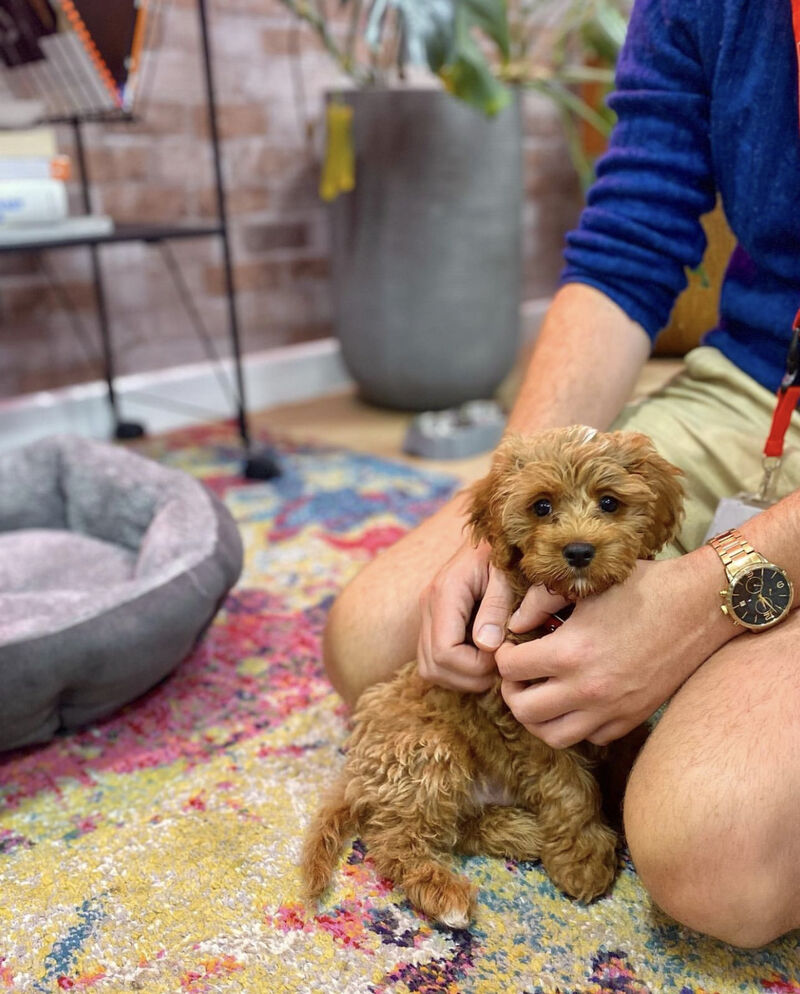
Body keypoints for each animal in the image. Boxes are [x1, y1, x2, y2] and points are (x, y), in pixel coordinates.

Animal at [300, 424, 680, 924]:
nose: (579, 550)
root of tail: (357, 774)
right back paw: (445, 894)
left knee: (456, 828)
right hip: (429, 750)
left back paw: (522, 831)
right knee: (396, 839)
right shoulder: (528, 716)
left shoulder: (619, 709)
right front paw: (582, 857)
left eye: (609, 502)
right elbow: (567, 787)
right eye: (542, 506)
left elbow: (625, 755)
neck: (566, 609)